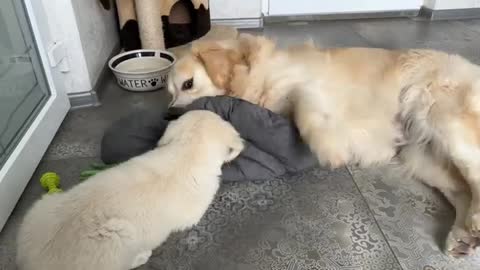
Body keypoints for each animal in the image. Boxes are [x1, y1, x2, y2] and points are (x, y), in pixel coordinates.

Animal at [168, 33, 480, 258]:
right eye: (169, 93)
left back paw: (473, 223)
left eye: (188, 84)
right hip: (422, 157)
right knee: (464, 189)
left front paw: (328, 146)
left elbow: (304, 111)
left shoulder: (305, 85)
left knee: (475, 172)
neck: (253, 74)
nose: (169, 114)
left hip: (441, 116)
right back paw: (463, 237)